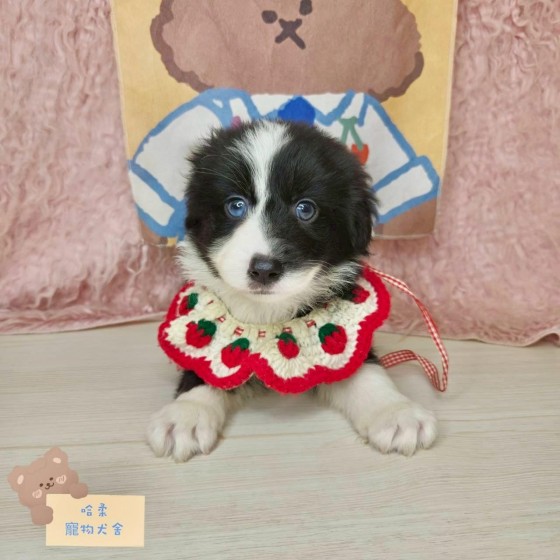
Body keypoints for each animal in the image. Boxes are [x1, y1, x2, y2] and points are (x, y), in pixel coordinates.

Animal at [146, 120, 437, 461]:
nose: (264, 269)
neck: (269, 315)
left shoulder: (343, 338)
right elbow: (203, 367)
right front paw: (186, 415)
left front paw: (396, 413)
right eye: (235, 205)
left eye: (306, 209)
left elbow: (366, 370)